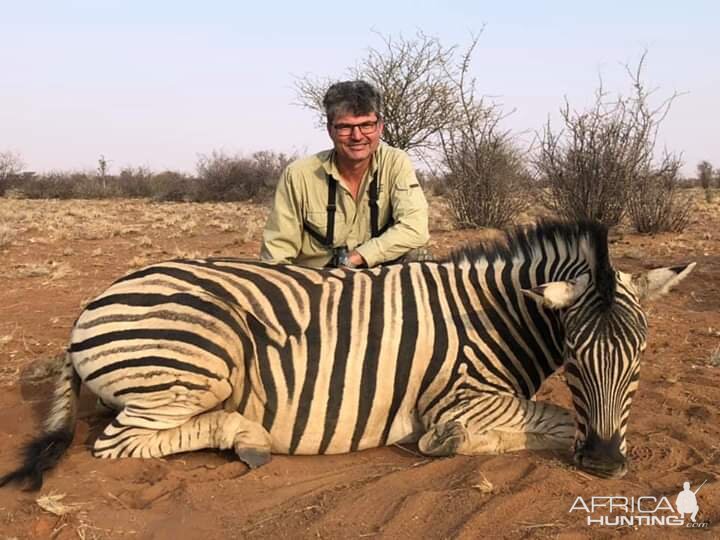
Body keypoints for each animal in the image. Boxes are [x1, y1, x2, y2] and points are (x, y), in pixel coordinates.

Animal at [1, 220, 696, 490]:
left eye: (639, 358)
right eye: (573, 358)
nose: (604, 465)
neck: (496, 315)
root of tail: (92, 304)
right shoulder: (460, 397)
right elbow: (545, 419)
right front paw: (447, 444)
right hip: (204, 354)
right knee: (121, 442)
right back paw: (247, 436)